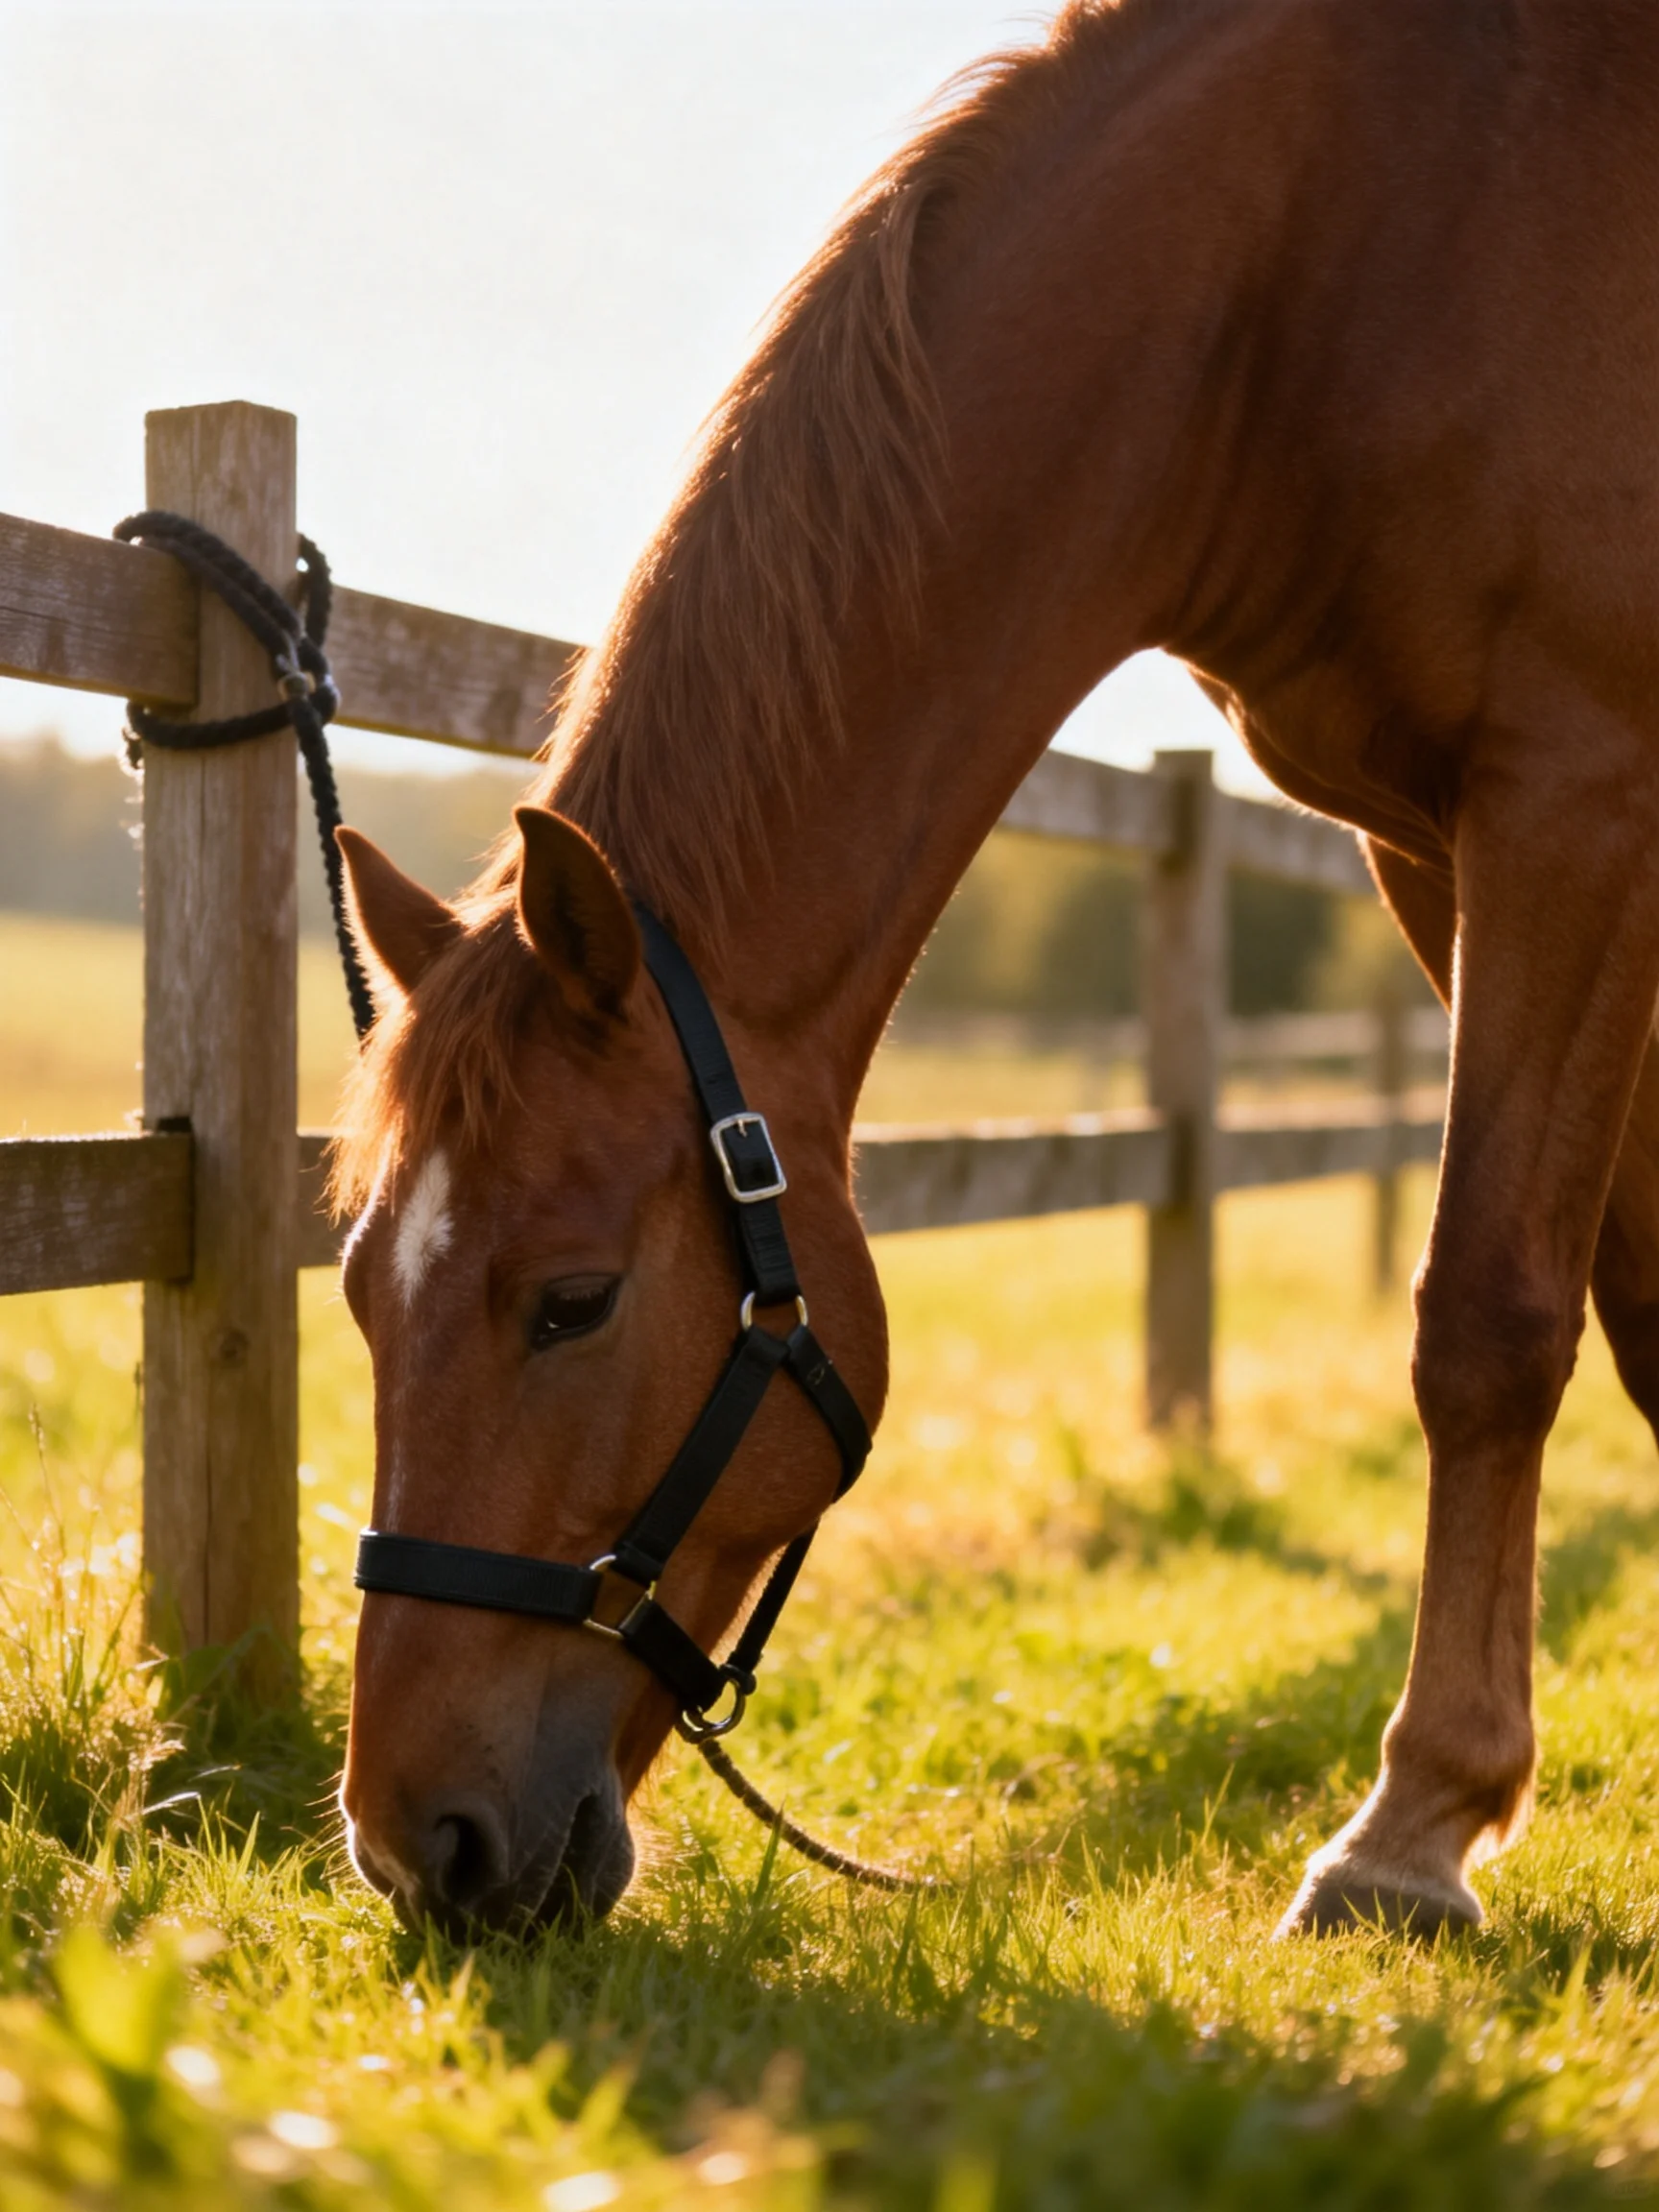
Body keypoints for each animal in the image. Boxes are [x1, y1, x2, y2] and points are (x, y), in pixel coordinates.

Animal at [332, 0, 1659, 1939]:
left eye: (570, 1300)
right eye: (362, 1288)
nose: (411, 1842)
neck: (1329, 248)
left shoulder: (1573, 791)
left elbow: (1488, 1315)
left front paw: (1411, 1829)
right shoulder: (1433, 840)